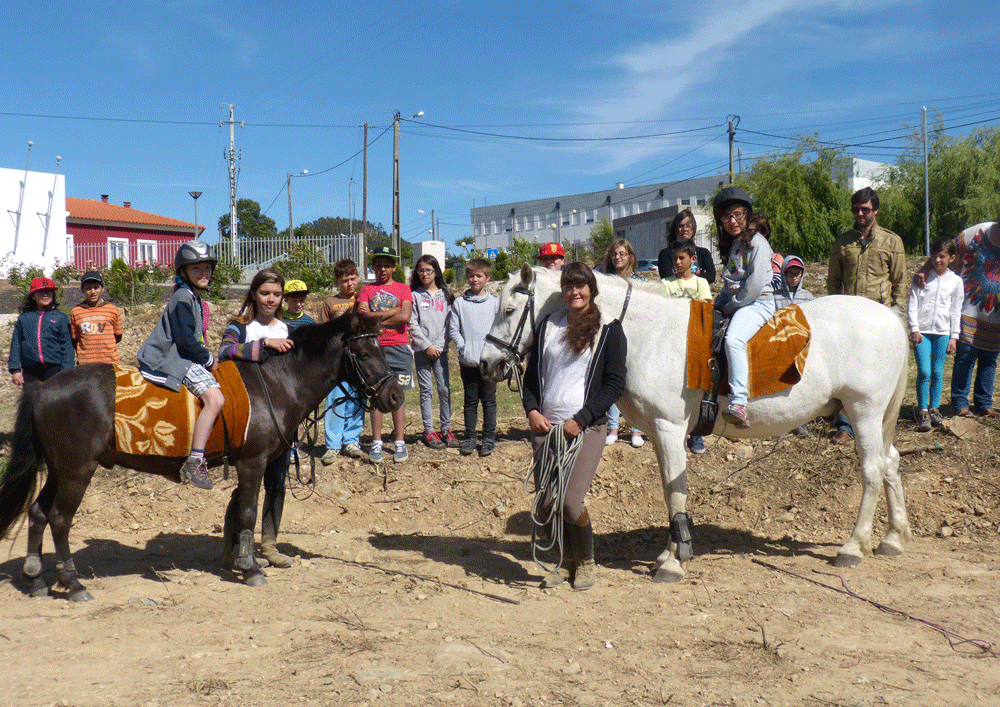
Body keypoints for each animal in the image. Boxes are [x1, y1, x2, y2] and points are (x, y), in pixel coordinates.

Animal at [0, 312, 398, 600]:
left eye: (382, 350)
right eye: (365, 354)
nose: (394, 396)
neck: (275, 382)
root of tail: (42, 388)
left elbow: (238, 510)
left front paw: (237, 559)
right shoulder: (252, 462)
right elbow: (249, 511)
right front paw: (250, 568)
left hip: (59, 469)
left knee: (37, 513)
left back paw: (35, 579)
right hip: (76, 471)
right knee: (59, 519)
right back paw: (73, 583)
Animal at [480, 266, 912, 580]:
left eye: (508, 310)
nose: (485, 363)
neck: (647, 333)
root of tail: (889, 317)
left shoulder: (670, 428)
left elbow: (676, 493)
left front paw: (675, 561)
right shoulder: (659, 432)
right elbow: (671, 491)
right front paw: (671, 551)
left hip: (863, 411)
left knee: (872, 470)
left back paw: (854, 546)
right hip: (871, 416)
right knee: (891, 463)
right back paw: (893, 538)